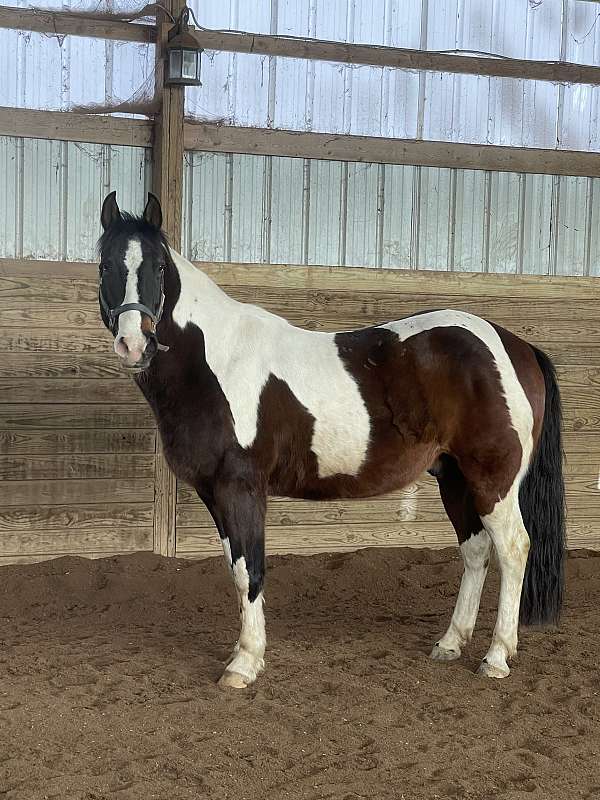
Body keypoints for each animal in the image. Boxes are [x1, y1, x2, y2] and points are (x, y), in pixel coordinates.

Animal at [96, 191, 564, 692]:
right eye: (105, 265)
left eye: (159, 267)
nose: (133, 344)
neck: (215, 361)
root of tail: (515, 347)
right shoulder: (213, 493)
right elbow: (235, 567)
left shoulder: (241, 487)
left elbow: (249, 570)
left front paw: (245, 662)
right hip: (455, 478)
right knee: (475, 550)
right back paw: (451, 643)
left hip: (491, 480)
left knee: (513, 548)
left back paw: (497, 656)